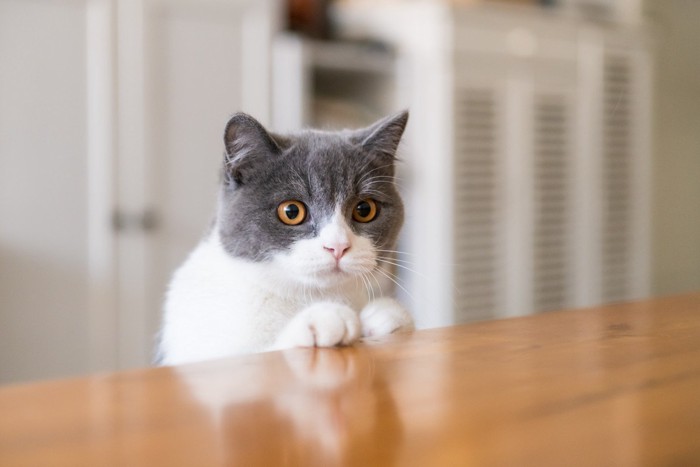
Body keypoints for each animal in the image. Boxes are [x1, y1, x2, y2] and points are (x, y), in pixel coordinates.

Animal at [156, 111, 412, 368]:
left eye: (364, 209)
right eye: (291, 211)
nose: (338, 246)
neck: (301, 295)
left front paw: (384, 317)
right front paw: (323, 318)